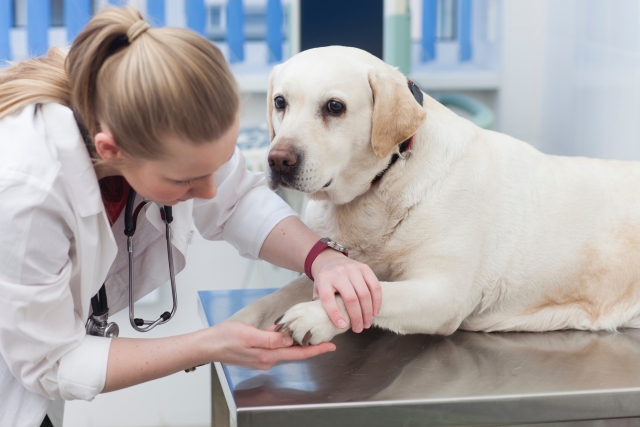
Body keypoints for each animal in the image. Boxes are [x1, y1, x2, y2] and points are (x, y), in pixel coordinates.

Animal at [229, 45, 640, 346]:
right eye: (280, 102)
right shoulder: (336, 264)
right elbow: (276, 296)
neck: (384, 183)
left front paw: (314, 317)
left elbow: (381, 293)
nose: (278, 160)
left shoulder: (443, 293)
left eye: (334, 106)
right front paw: (238, 326)